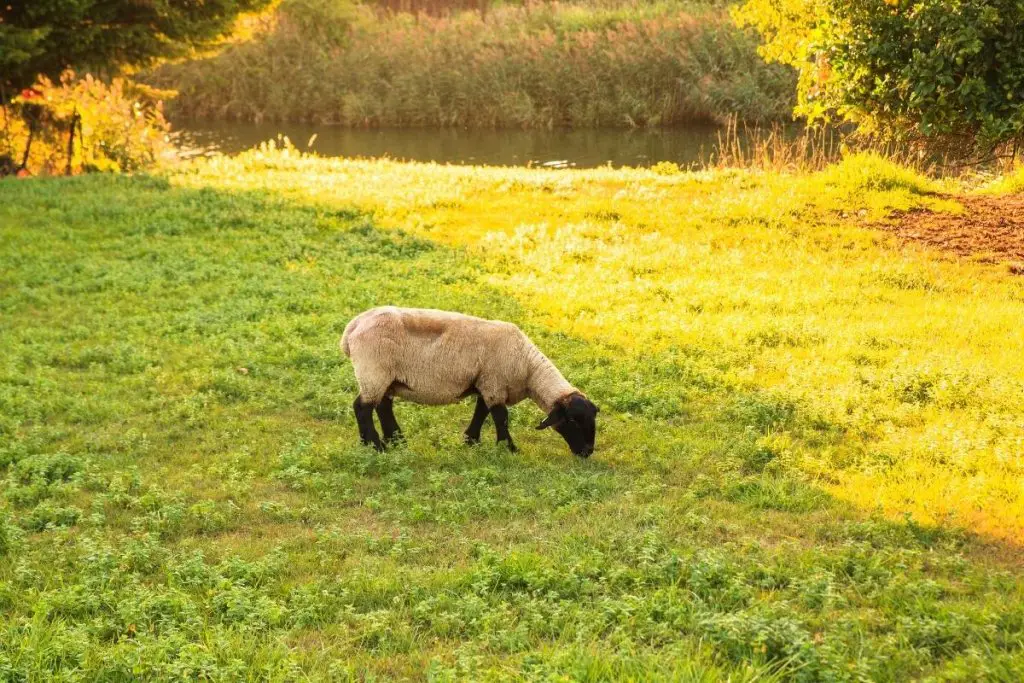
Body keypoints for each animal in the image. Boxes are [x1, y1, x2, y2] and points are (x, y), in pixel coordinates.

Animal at [342, 307, 598, 456]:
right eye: (572, 421)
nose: (587, 452)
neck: (528, 368)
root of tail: (352, 328)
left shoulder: (487, 383)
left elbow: (482, 412)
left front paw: (471, 440)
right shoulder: (494, 382)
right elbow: (501, 417)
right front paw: (509, 448)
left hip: (385, 376)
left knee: (383, 406)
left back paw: (395, 441)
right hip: (373, 370)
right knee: (362, 407)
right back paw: (375, 446)